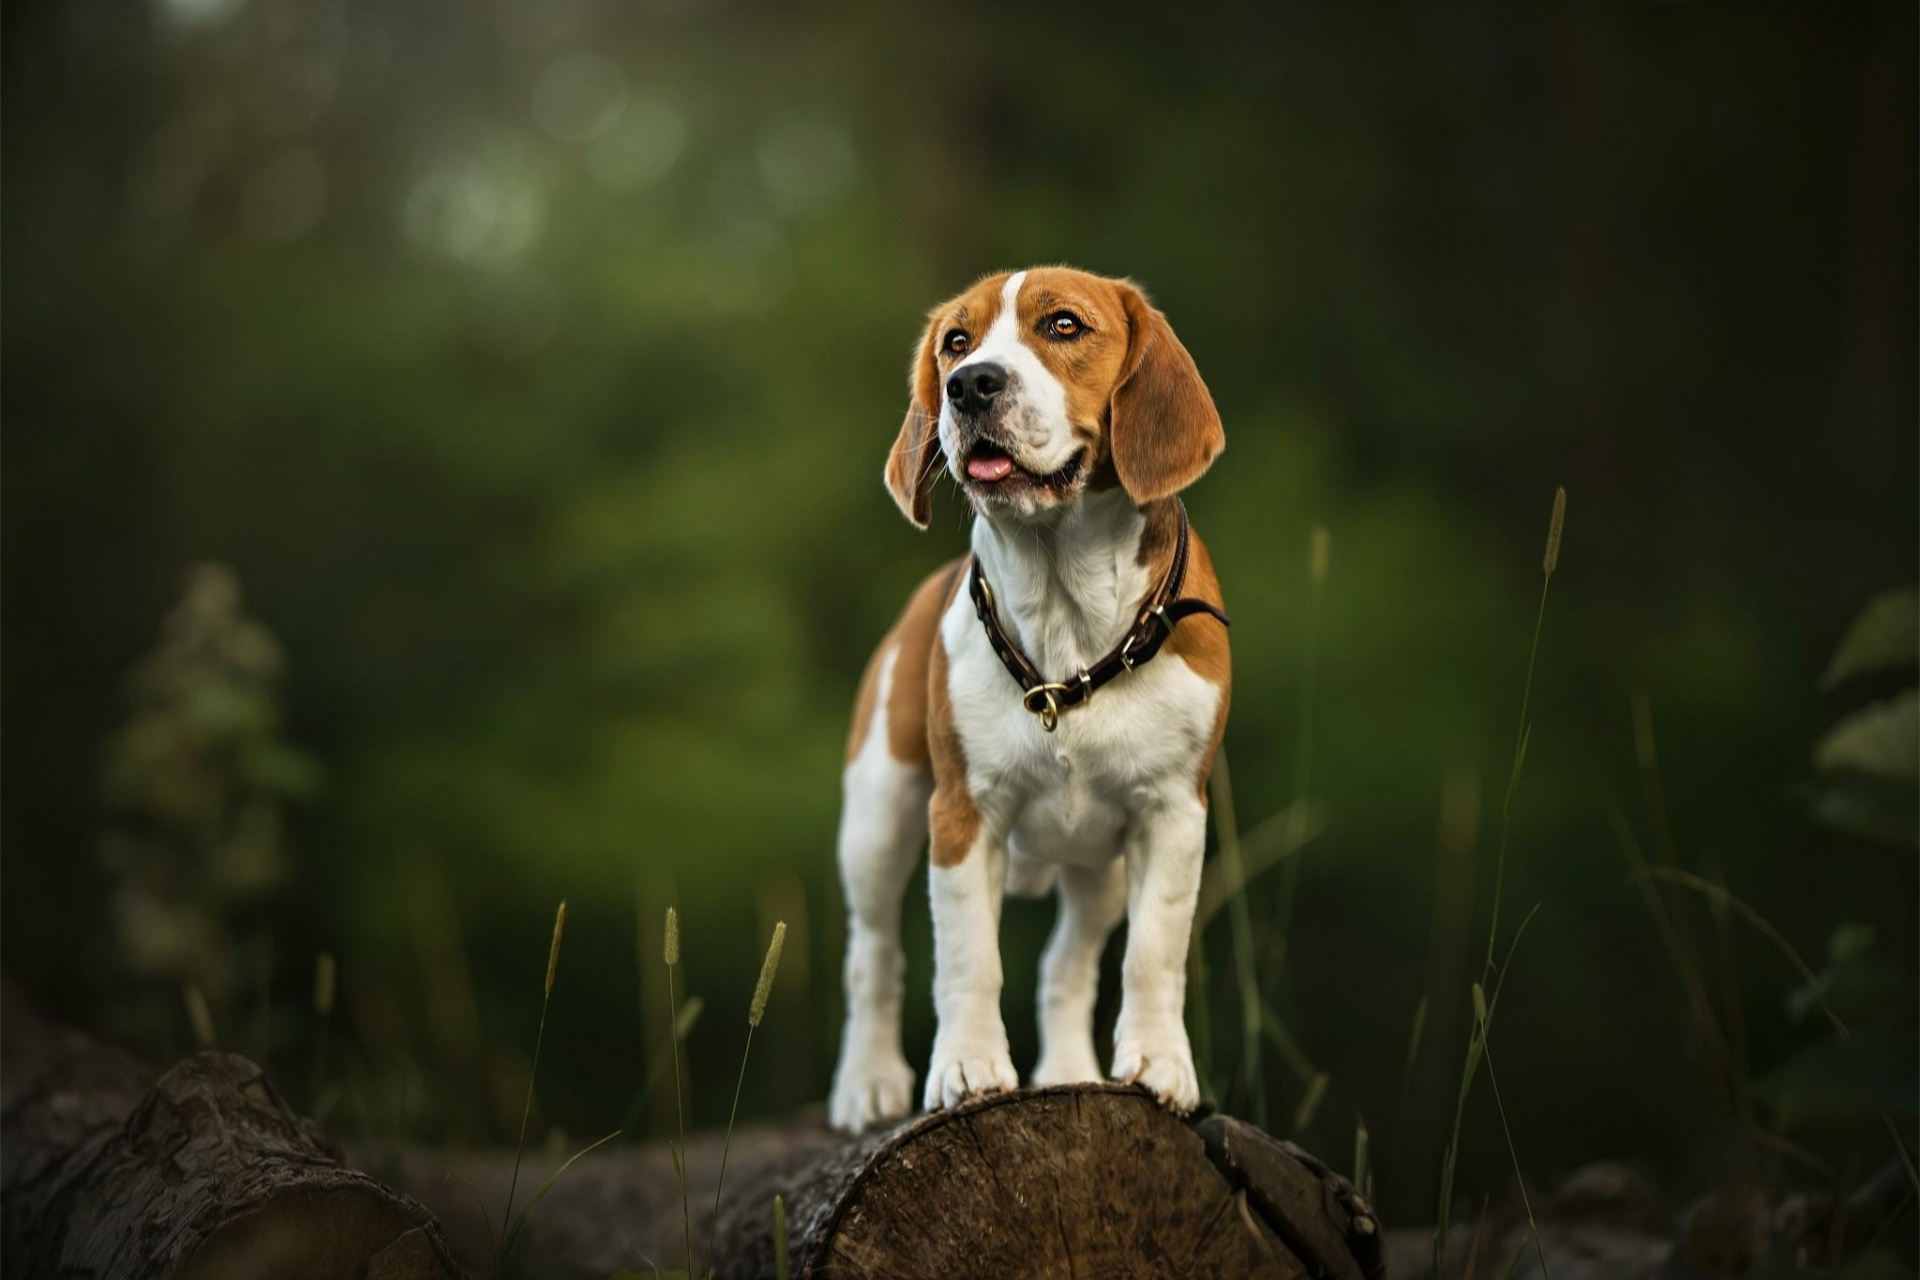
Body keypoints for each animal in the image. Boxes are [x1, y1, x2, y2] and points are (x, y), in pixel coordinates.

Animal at [829, 268, 1228, 1128]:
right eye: (956, 341)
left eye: (1064, 325)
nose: (969, 383)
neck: (1063, 603)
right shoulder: (961, 814)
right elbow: (968, 958)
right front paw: (969, 1066)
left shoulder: (1174, 814)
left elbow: (1154, 953)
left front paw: (1159, 1063)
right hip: (878, 815)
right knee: (874, 954)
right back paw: (867, 1080)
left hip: (1099, 870)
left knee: (1065, 966)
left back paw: (1069, 1069)